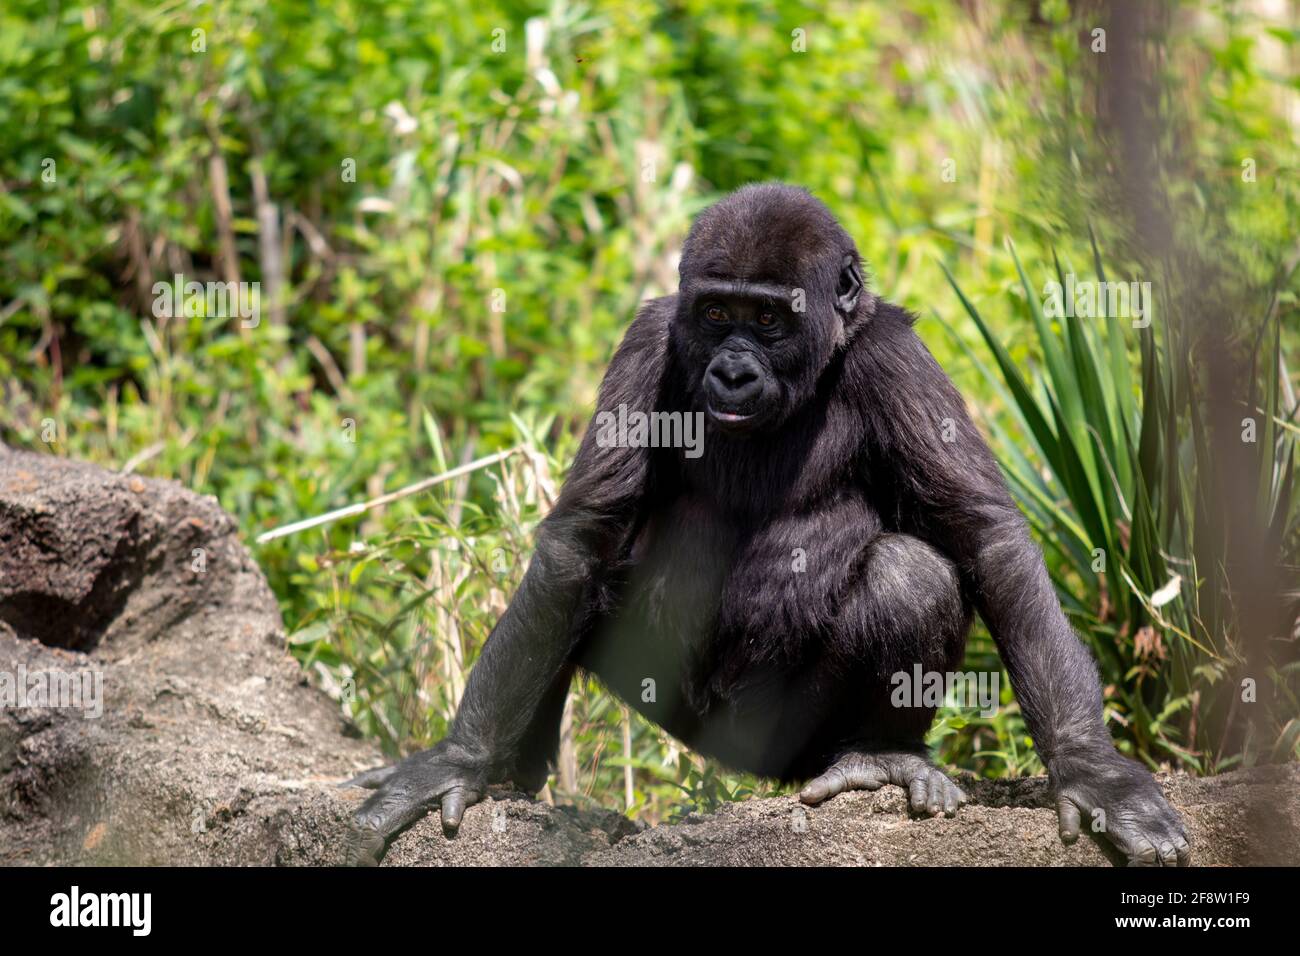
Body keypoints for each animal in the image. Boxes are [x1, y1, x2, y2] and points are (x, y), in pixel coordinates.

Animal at [345, 180, 1190, 868]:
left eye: (769, 319)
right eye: (717, 313)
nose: (732, 369)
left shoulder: (896, 356)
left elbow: (984, 537)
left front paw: (1092, 771)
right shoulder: (648, 337)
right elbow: (580, 543)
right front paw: (459, 759)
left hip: (792, 747)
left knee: (908, 574)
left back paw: (878, 757)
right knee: (578, 586)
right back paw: (511, 775)